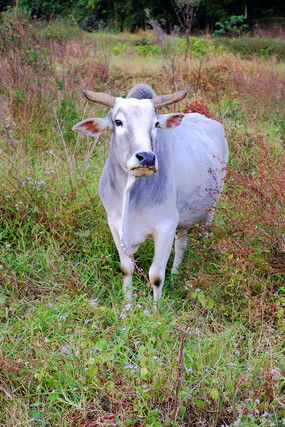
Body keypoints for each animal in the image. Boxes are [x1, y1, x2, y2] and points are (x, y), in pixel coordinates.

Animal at [72, 83, 227, 304]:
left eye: (155, 124)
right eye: (118, 122)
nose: (146, 157)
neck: (131, 193)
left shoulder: (166, 225)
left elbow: (156, 276)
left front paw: (156, 308)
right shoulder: (115, 224)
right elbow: (126, 268)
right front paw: (127, 304)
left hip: (211, 207)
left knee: (203, 233)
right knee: (182, 243)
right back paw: (176, 275)